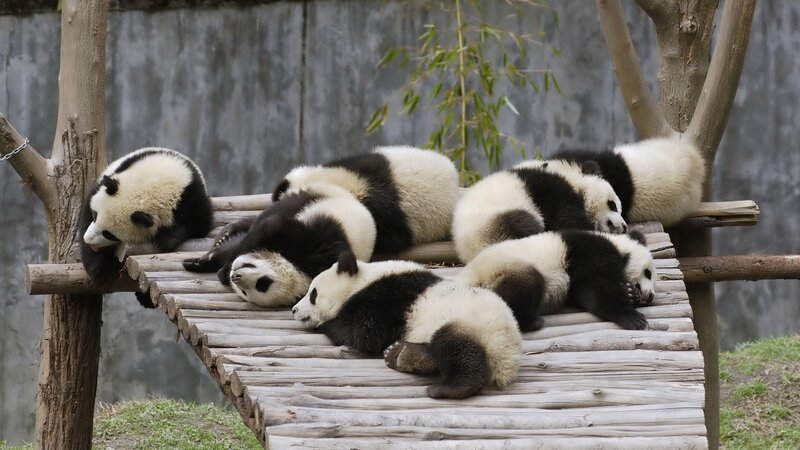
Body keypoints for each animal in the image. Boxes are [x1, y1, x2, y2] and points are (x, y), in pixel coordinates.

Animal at [79, 148, 213, 286]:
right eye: (95, 216)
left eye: (109, 234)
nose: (88, 239)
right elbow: (86, 215)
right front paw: (99, 269)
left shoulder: (191, 196)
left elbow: (199, 223)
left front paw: (164, 240)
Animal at [183, 183, 377, 308]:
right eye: (264, 281)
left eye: (260, 286)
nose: (235, 277)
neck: (299, 267)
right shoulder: (312, 242)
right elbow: (269, 227)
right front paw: (214, 266)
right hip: (313, 198)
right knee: (272, 212)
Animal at [292, 251, 521, 399]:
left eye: (313, 294)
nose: (294, 310)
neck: (363, 279)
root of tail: (508, 357)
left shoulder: (385, 299)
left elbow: (364, 333)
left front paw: (326, 323)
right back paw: (402, 355)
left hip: (472, 324)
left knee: (457, 348)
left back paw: (449, 388)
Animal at [452, 165, 621, 263]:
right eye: (612, 205)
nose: (624, 226)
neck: (573, 181)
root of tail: (469, 251)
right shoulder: (551, 192)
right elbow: (566, 218)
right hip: (495, 220)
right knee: (522, 225)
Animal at [457, 229, 655, 332]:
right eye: (648, 273)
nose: (651, 295)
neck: (619, 246)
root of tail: (467, 279)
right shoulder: (590, 253)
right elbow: (596, 289)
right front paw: (634, 319)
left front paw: (630, 293)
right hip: (503, 269)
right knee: (523, 287)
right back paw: (531, 322)